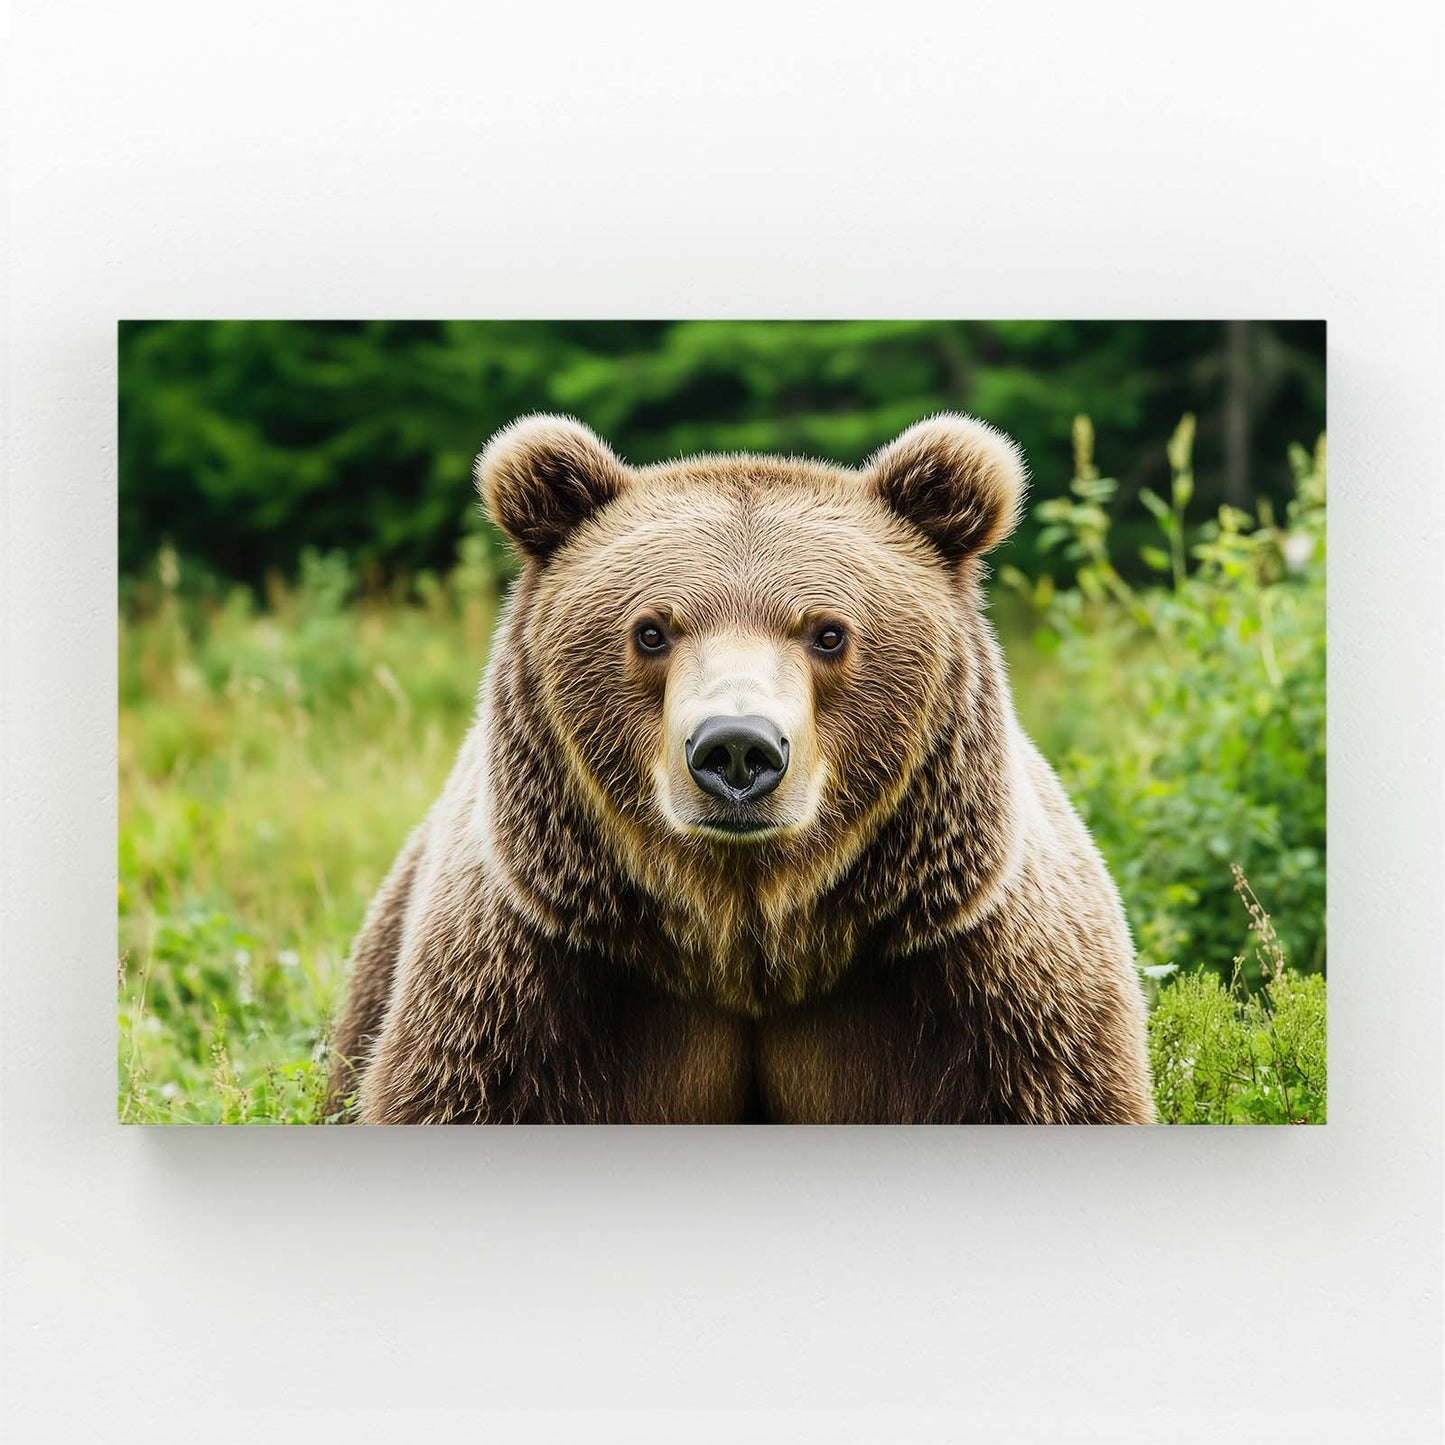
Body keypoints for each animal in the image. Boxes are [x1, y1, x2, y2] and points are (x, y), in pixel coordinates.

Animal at [328, 413, 1155, 1124]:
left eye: (828, 631)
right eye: (650, 629)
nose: (735, 748)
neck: (745, 936)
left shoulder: (981, 984)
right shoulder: (525, 980)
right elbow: (463, 1087)